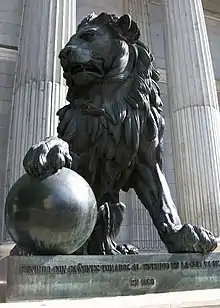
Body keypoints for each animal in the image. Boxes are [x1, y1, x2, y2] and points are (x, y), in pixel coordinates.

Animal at [20, 12, 217, 255]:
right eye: (70, 39)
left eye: (88, 36)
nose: (62, 53)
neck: (107, 101)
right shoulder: (82, 153)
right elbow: (62, 145)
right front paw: (47, 149)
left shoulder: (147, 160)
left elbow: (162, 200)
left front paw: (184, 235)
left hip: (114, 206)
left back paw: (118, 249)